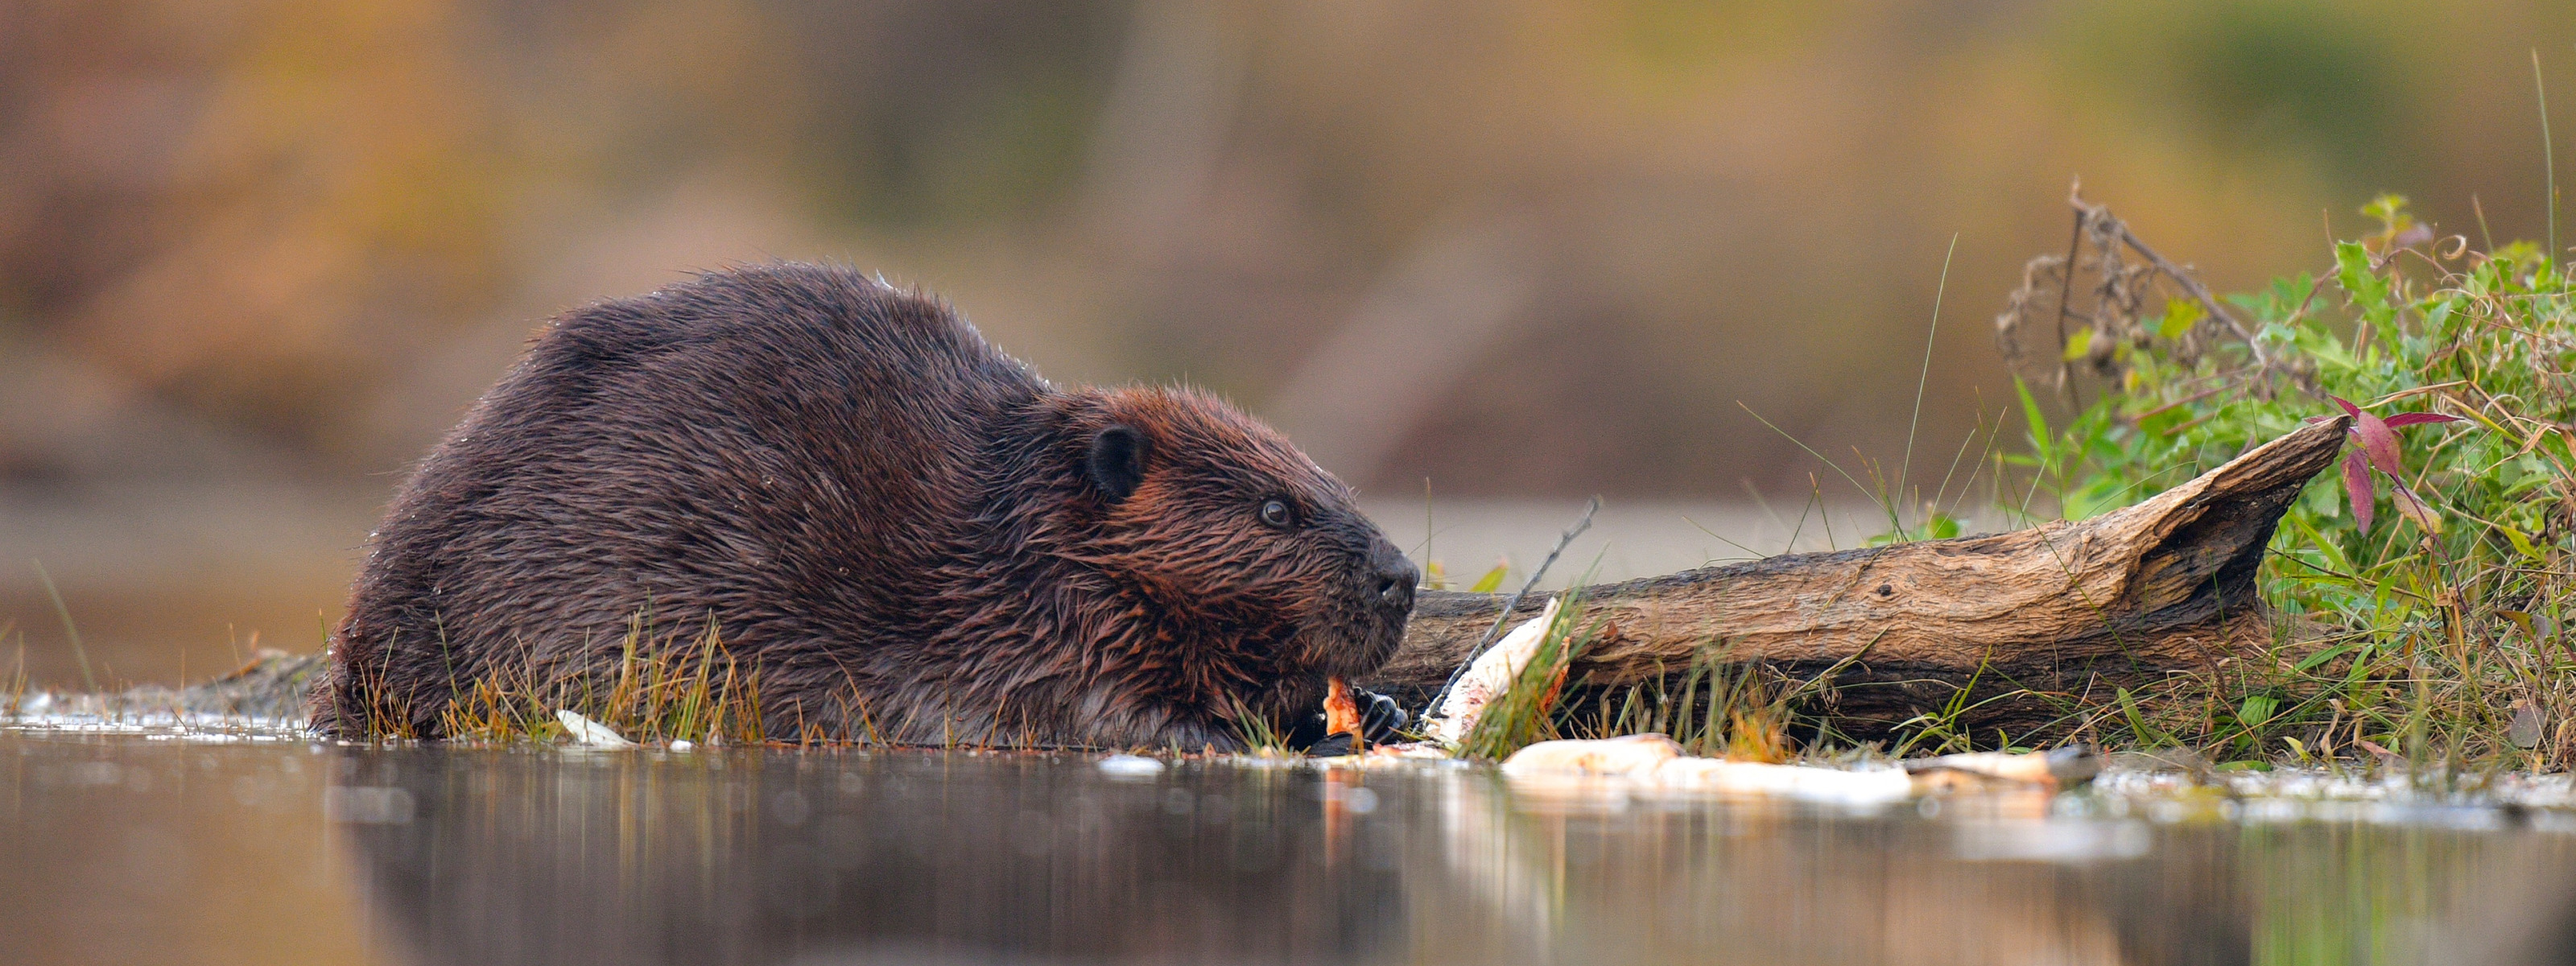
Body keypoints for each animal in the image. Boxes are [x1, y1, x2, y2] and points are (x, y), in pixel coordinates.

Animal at [316, 262, 1432, 747]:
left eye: (1327, 486)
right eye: (1275, 512)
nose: (1401, 577)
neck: (1010, 525)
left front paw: (1370, 707)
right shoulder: (1028, 629)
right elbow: (1101, 712)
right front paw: (1255, 733)